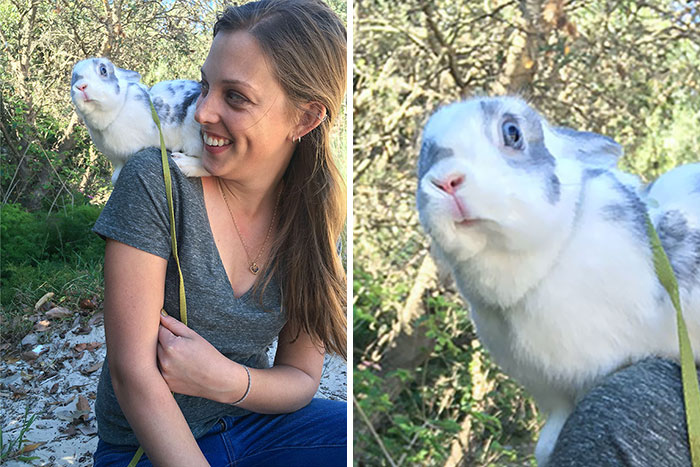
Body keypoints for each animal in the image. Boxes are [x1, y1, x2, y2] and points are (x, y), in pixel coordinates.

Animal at [70, 57, 210, 183]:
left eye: (103, 70)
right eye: (72, 77)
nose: (81, 86)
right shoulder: (116, 158)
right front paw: (115, 178)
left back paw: (183, 163)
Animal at [416, 95, 700, 466]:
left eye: (512, 132)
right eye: (423, 154)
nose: (446, 181)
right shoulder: (549, 387)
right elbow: (556, 418)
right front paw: (547, 446)